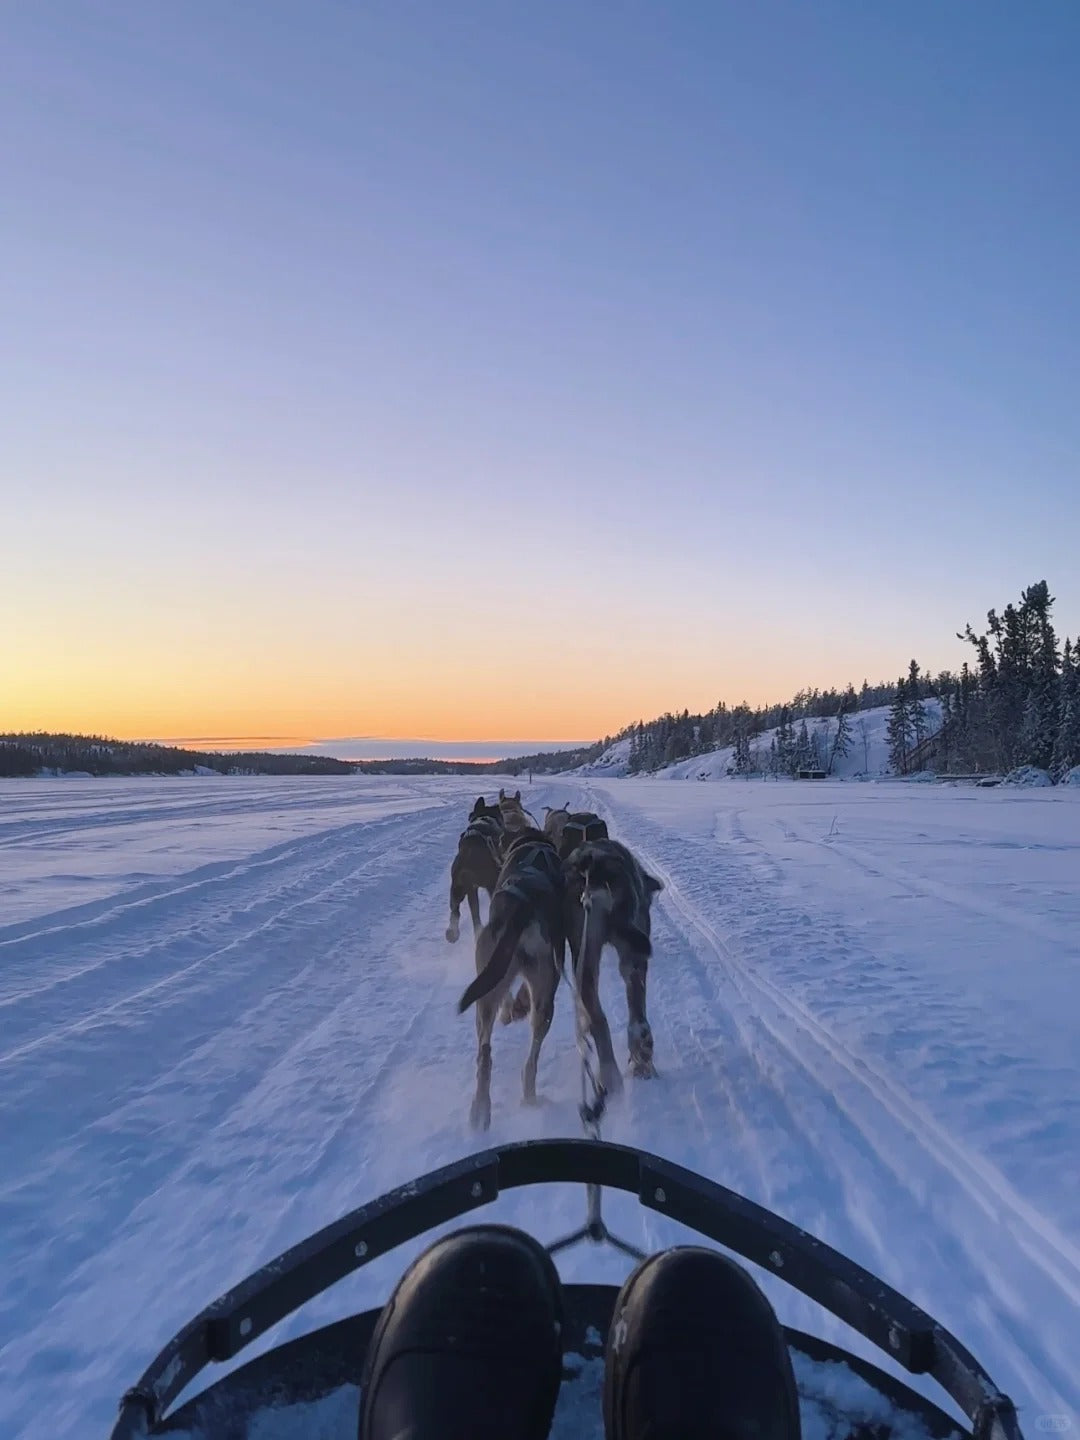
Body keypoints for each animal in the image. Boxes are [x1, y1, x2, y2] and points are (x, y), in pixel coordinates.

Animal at [457, 829, 567, 1128]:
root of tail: (521, 910)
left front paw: (511, 1010)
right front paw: (515, 1008)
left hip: (486, 996)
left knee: (485, 1054)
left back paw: (480, 1111)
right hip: (545, 994)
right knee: (531, 1060)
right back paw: (528, 1098)